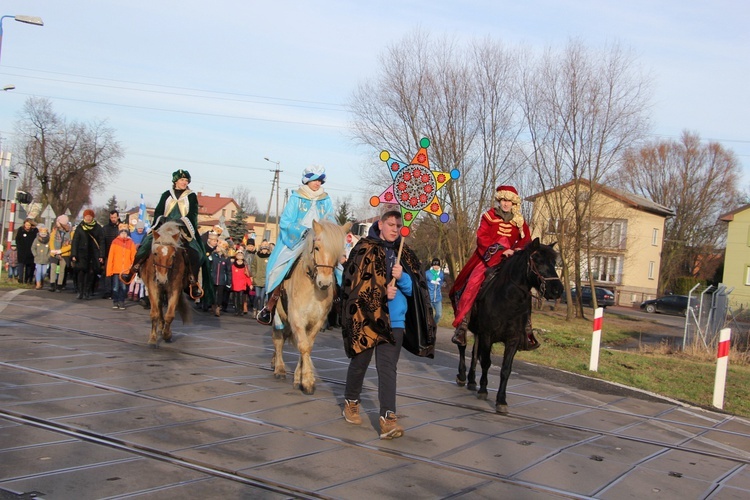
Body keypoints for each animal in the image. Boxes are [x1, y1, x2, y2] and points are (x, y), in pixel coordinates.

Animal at [272, 219, 352, 394]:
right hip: (278, 316)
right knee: (278, 340)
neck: (312, 288)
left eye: (338, 252)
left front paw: (300, 378)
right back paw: (279, 368)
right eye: (317, 248)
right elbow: (303, 346)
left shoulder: (316, 322)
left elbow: (307, 346)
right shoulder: (296, 318)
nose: (325, 283)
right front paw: (308, 381)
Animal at [456, 238, 568, 414]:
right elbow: (486, 362)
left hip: (479, 333)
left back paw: (472, 381)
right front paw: (483, 390)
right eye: (537, 260)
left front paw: (501, 400)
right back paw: (462, 376)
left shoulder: (513, 339)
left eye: (554, 262)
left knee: (474, 353)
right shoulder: (488, 335)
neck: (509, 300)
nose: (557, 289)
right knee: (463, 347)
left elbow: (506, 369)